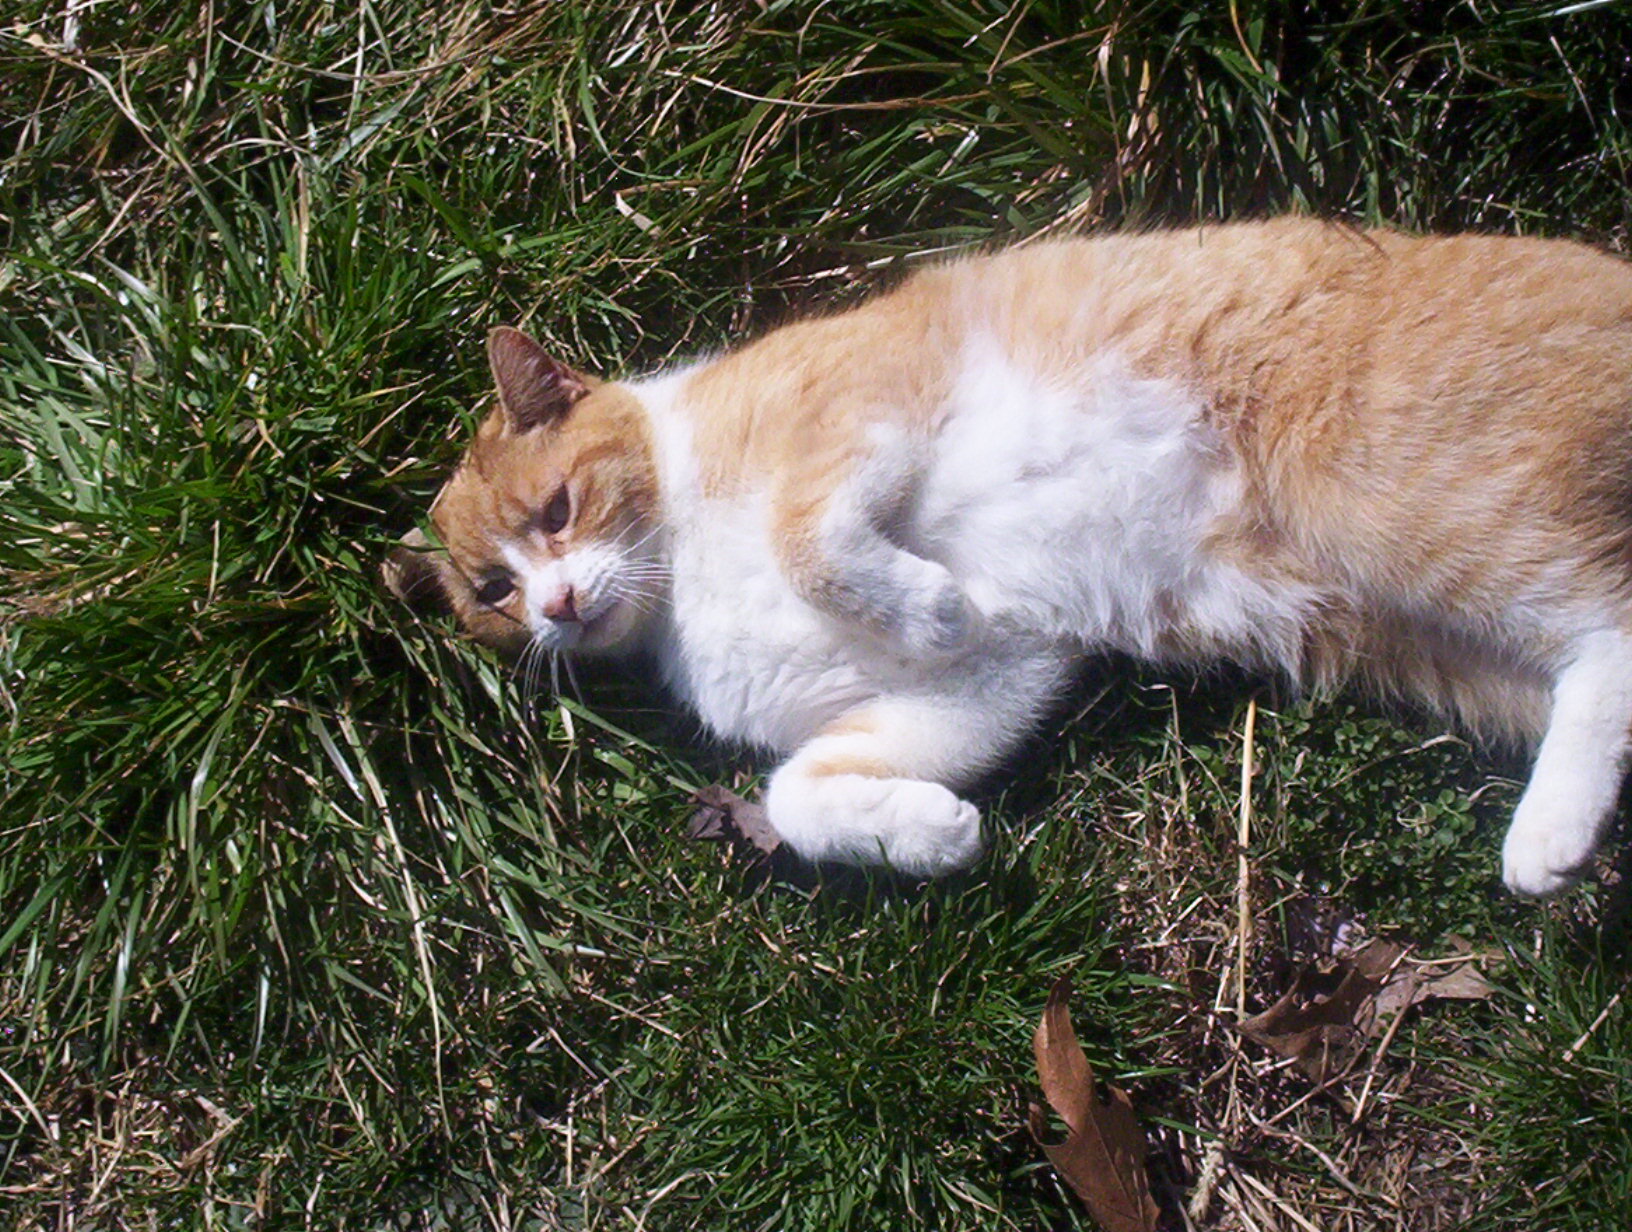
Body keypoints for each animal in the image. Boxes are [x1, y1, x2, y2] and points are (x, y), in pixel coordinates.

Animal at [388, 217, 1632, 894]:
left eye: (556, 509)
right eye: (493, 592)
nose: (553, 604)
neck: (681, 576)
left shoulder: (861, 410)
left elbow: (813, 540)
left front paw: (928, 602)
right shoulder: (997, 679)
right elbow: (795, 791)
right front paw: (927, 835)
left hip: (1409, 507)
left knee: (1612, 631)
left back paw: (1544, 839)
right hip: (1438, 644)